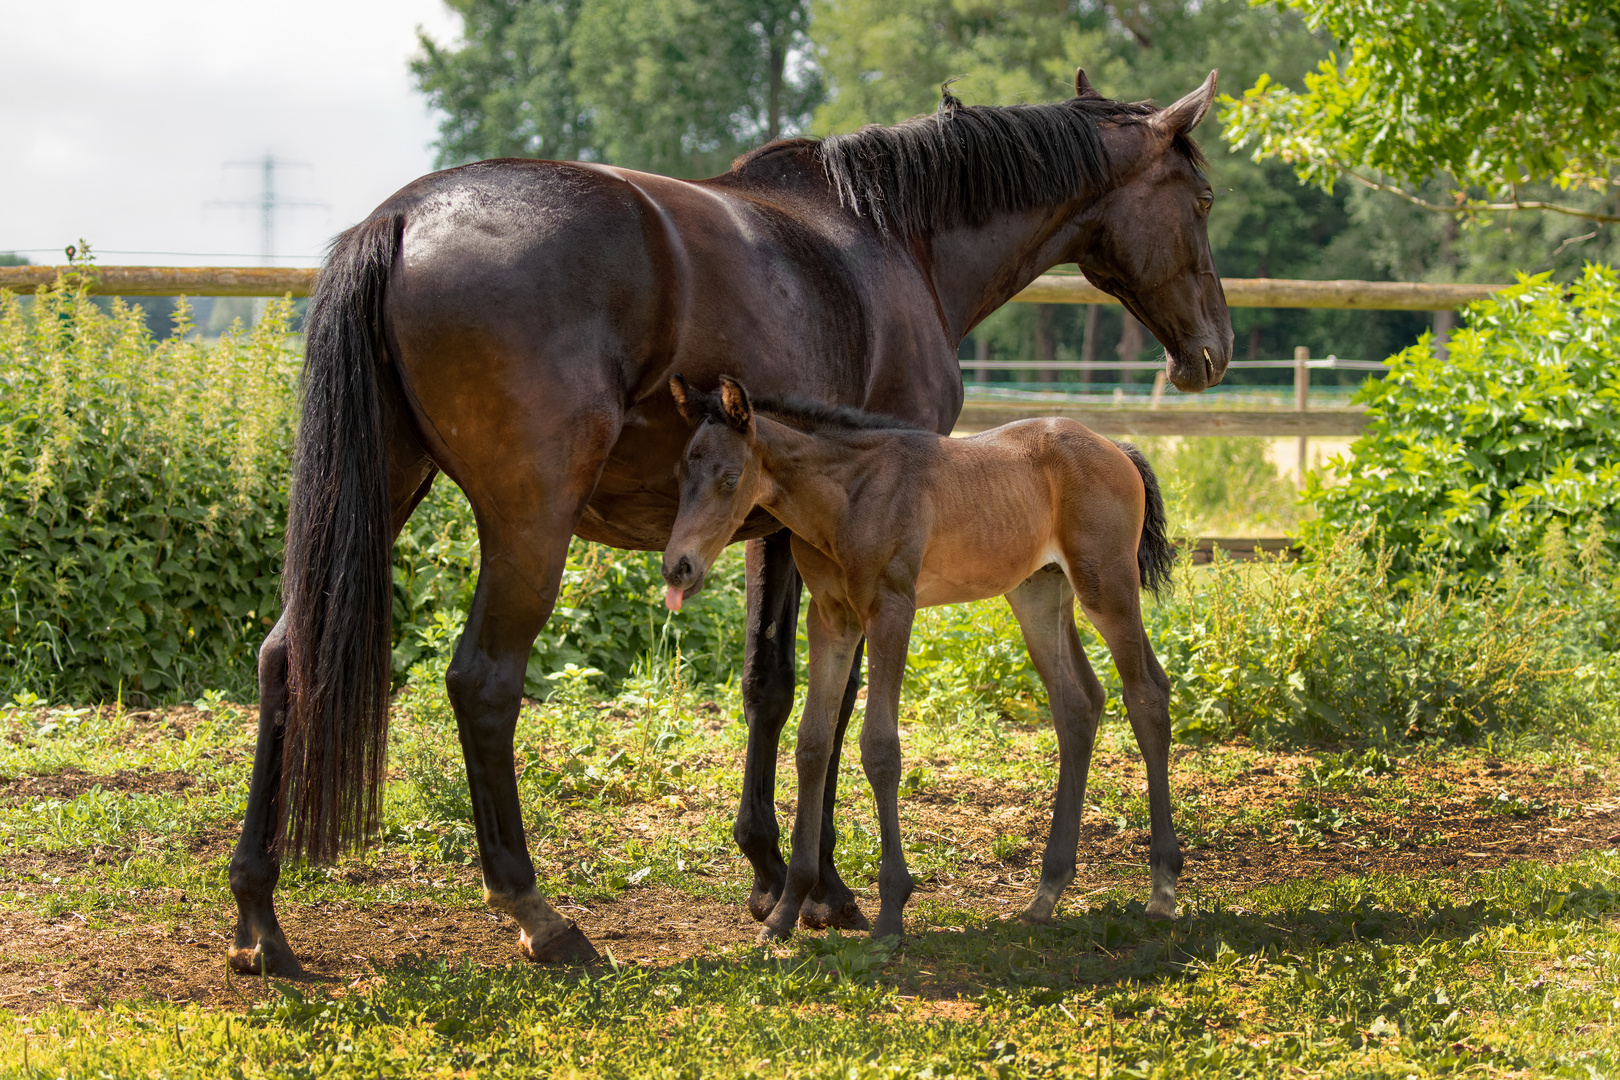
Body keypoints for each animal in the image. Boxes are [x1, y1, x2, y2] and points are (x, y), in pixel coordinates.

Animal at [664, 375, 1185, 939]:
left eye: (730, 477)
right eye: (680, 472)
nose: (677, 567)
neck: (850, 492)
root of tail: (1117, 448)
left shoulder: (892, 608)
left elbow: (879, 748)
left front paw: (891, 910)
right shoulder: (830, 619)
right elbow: (812, 745)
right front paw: (786, 911)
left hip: (1106, 584)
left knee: (1147, 694)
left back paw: (1162, 889)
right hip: (1039, 593)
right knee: (1078, 704)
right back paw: (1045, 895)